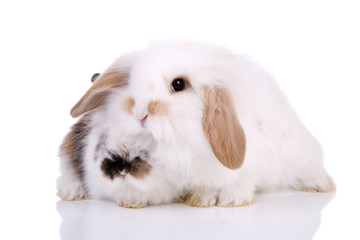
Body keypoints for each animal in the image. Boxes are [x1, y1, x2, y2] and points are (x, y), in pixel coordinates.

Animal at [57, 40, 334, 207]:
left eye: (178, 84)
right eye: (131, 82)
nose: (140, 113)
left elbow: (236, 181)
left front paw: (223, 200)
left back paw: (322, 185)